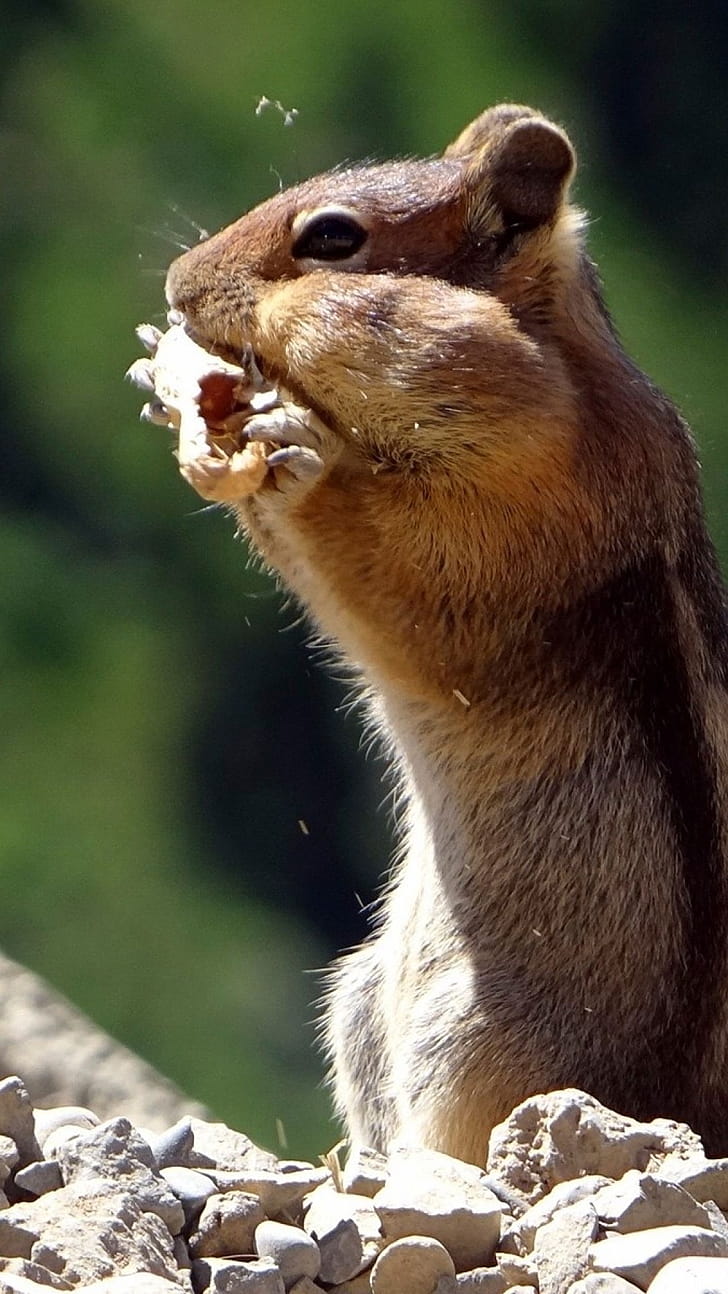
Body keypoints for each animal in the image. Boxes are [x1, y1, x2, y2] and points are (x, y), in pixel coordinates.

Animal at [161, 103, 728, 1164]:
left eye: (332, 240)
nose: (176, 286)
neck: (562, 373)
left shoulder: (534, 494)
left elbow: (413, 578)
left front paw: (291, 455)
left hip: (479, 1047)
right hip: (362, 1000)